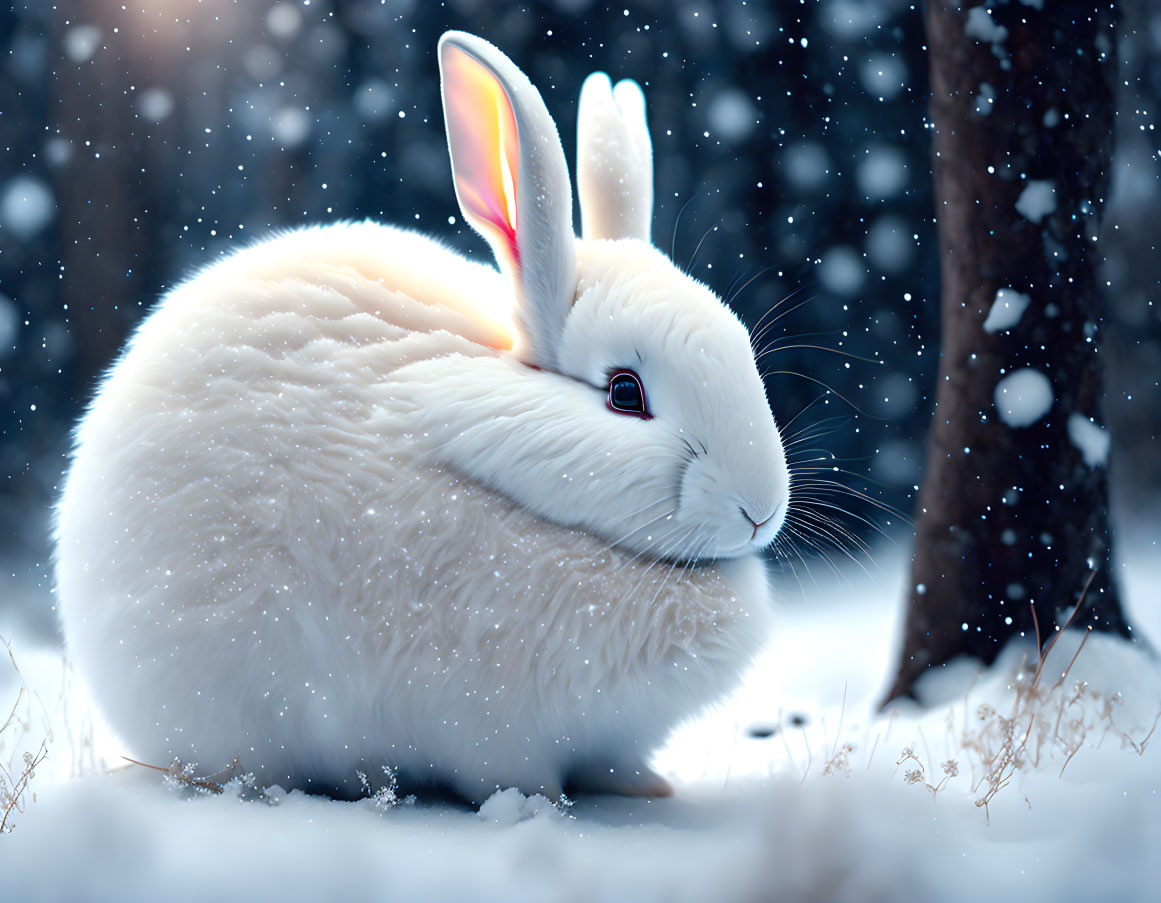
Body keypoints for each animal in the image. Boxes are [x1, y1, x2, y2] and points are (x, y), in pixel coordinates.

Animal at [56, 31, 789, 798]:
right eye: (625, 393)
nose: (760, 510)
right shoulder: (490, 725)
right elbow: (514, 774)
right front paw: (542, 807)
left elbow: (615, 762)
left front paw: (649, 786)